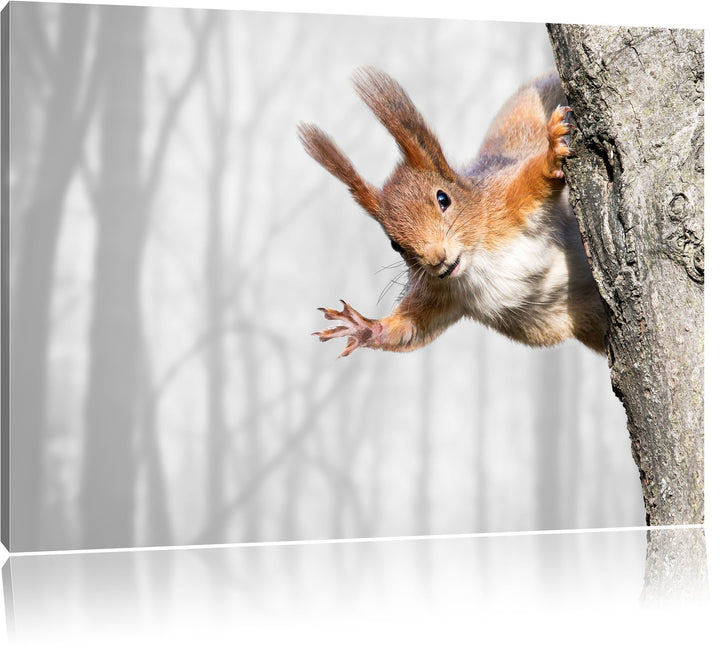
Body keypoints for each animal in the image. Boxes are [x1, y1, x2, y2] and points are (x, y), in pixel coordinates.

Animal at [298, 68, 606, 357]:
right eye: (395, 244)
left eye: (443, 198)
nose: (436, 259)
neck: (477, 259)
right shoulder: (441, 293)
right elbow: (410, 328)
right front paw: (364, 328)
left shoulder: (506, 201)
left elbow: (533, 178)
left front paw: (552, 154)